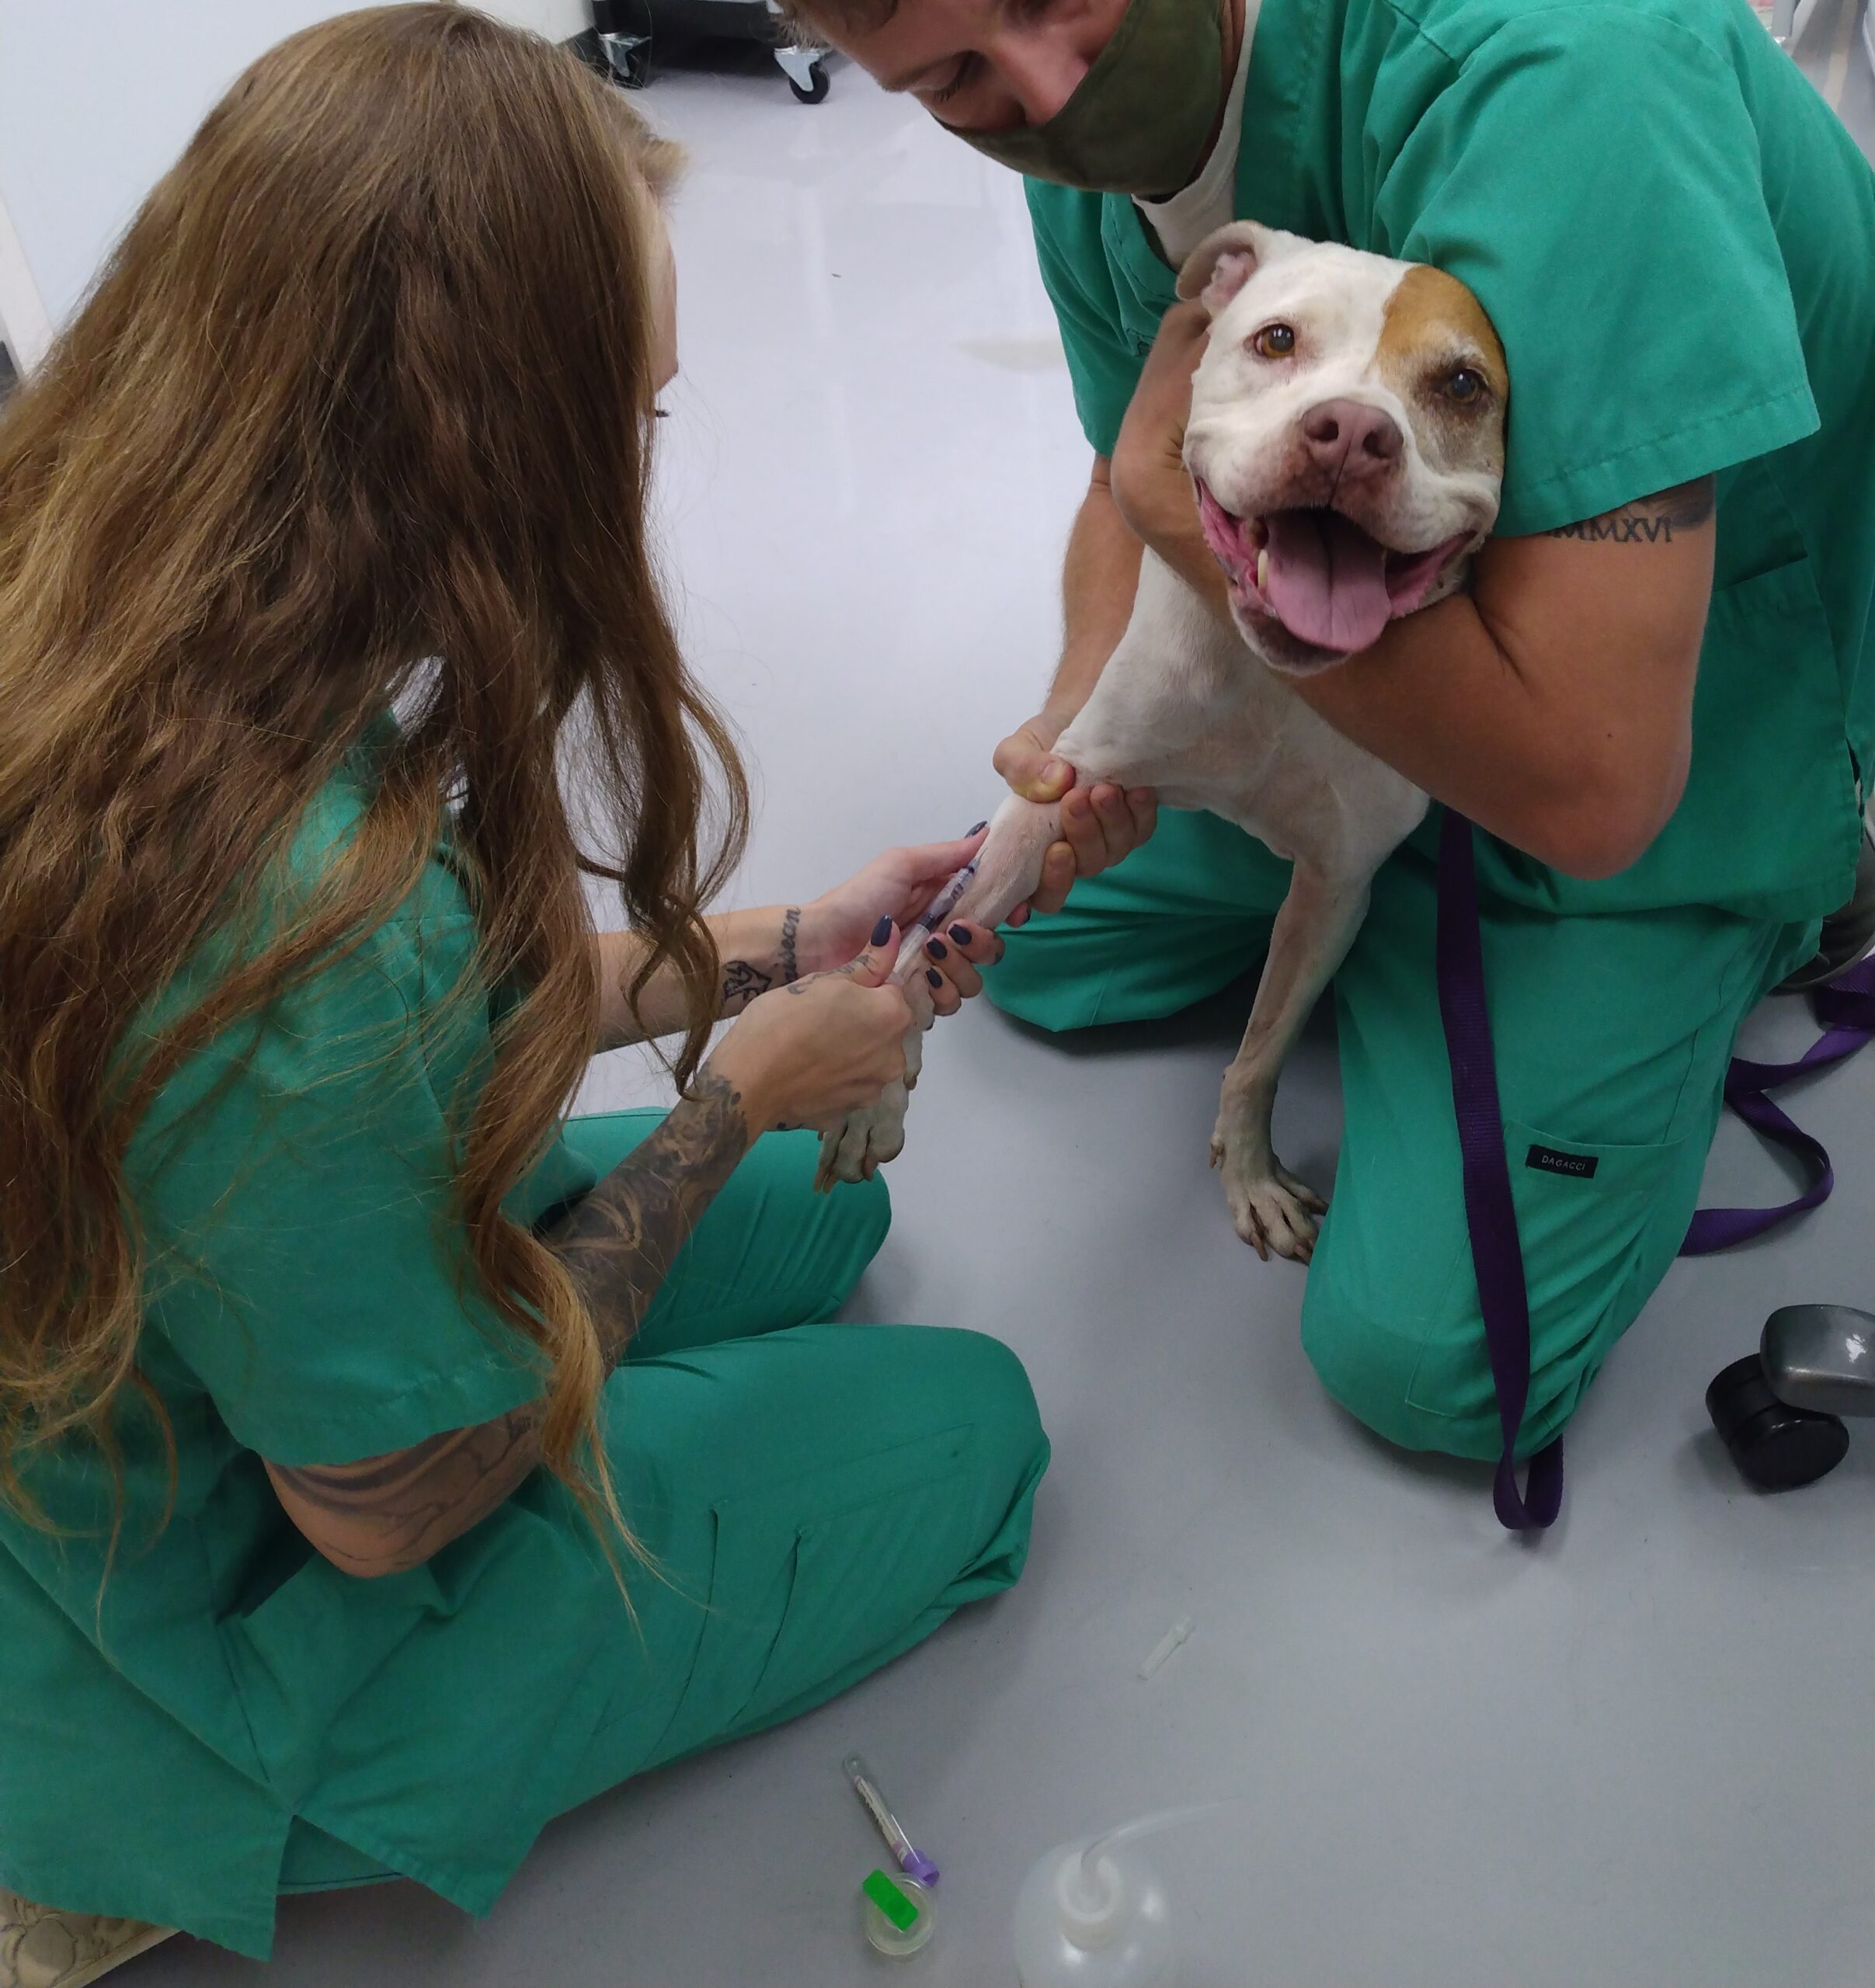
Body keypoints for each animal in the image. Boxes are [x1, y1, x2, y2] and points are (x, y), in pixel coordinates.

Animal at [819, 220, 1508, 1261]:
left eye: (1461, 386)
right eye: (1275, 340)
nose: (1352, 433)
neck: (1270, 683)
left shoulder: (1335, 887)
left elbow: (1261, 1048)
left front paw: (1249, 1172)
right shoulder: (1057, 792)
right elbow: (928, 941)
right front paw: (866, 1090)